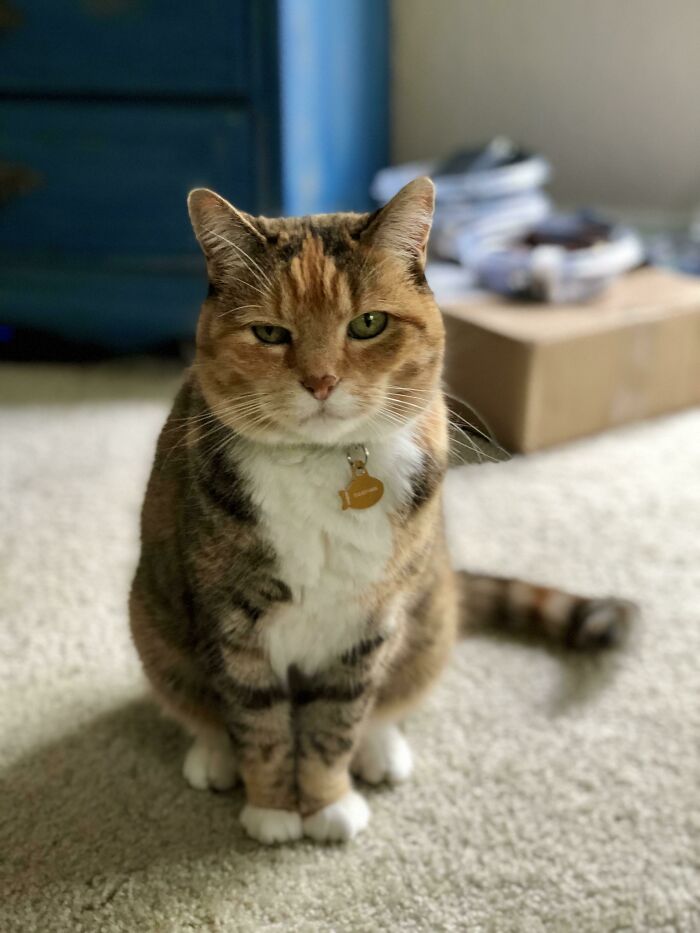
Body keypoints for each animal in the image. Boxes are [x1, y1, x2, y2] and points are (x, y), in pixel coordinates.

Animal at [127, 177, 636, 844]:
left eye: (368, 323)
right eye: (270, 334)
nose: (320, 382)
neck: (323, 467)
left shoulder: (370, 622)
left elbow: (336, 723)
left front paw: (326, 804)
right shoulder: (231, 618)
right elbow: (258, 722)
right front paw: (274, 810)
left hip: (430, 616)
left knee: (387, 702)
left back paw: (382, 750)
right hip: (152, 621)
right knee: (198, 705)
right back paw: (213, 755)